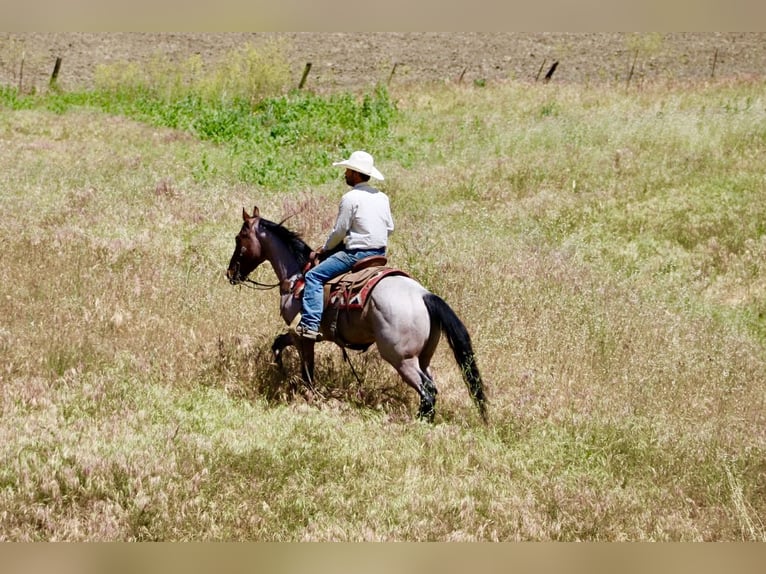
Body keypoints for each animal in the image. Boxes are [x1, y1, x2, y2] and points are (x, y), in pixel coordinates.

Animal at [226, 206, 488, 423]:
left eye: (239, 238)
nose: (230, 273)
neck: (297, 276)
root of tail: (424, 296)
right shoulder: (296, 334)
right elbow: (278, 344)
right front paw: (280, 371)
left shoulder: (303, 336)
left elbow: (307, 371)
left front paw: (310, 397)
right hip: (423, 357)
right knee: (432, 386)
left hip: (401, 359)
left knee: (428, 391)